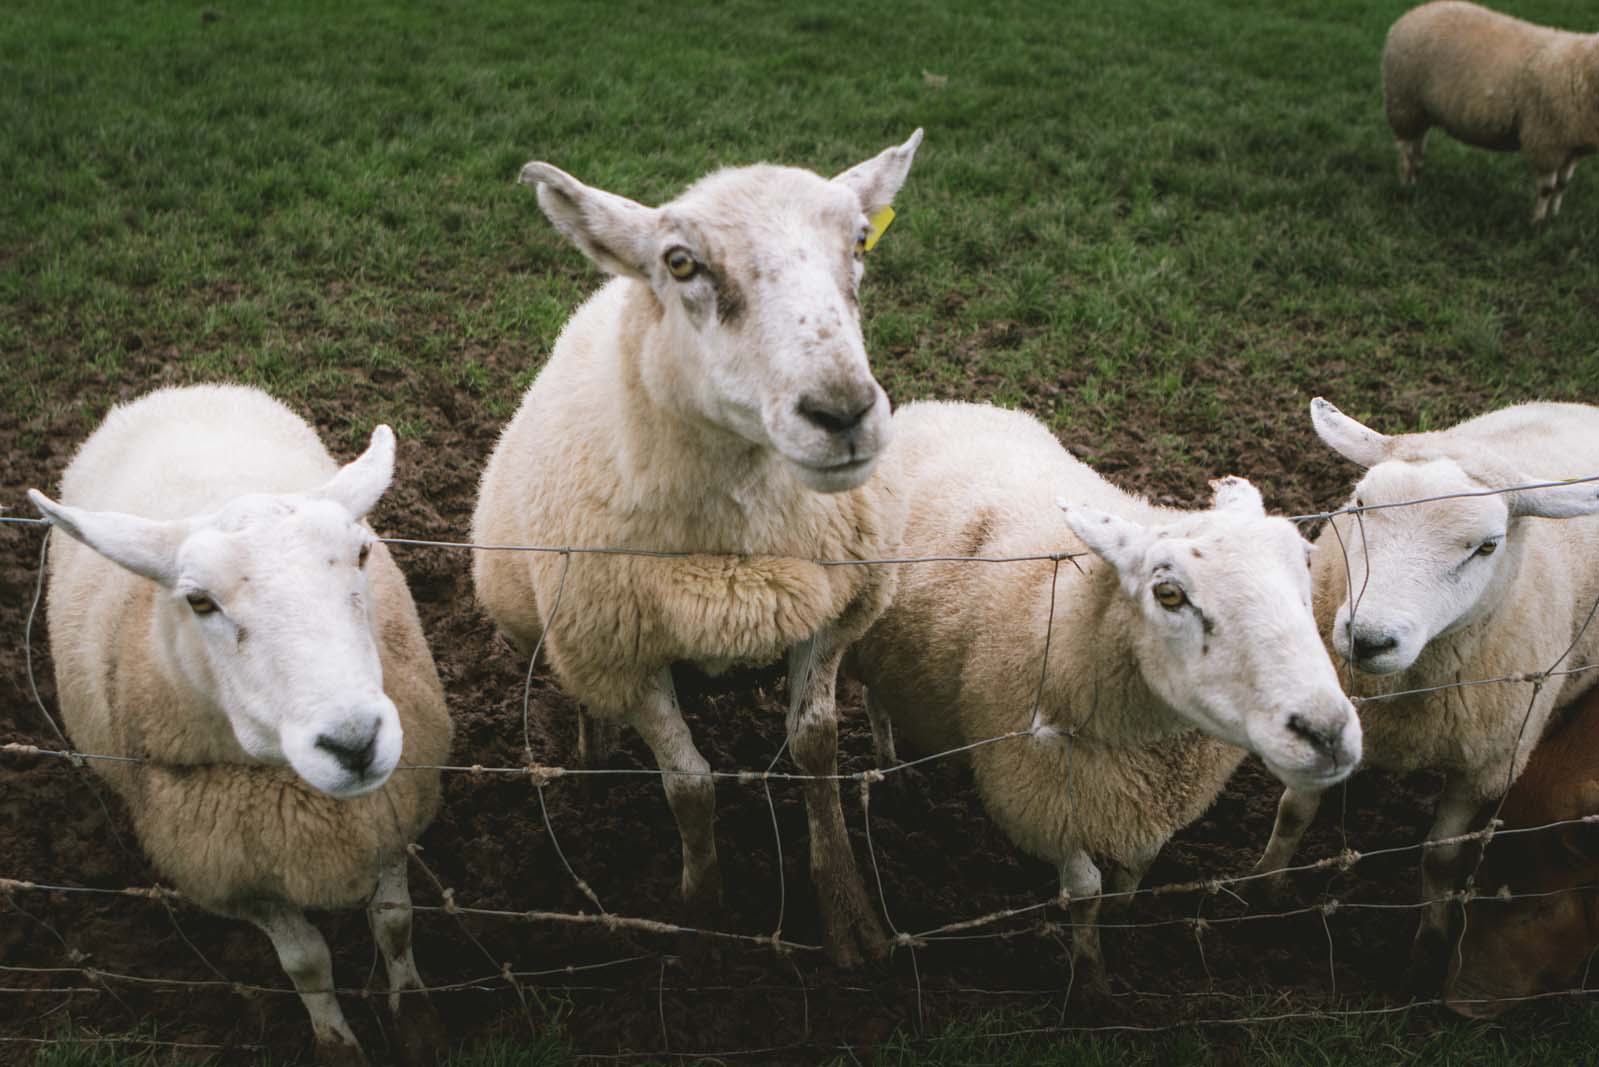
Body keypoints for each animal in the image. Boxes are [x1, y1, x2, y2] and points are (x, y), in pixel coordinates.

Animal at [28, 385, 454, 1067]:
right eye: (198, 601)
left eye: (361, 553)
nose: (355, 743)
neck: (305, 802)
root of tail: (174, 389)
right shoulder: (233, 873)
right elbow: (306, 963)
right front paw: (336, 1042)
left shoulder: (391, 813)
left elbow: (393, 919)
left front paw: (416, 1019)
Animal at [470, 131, 927, 966]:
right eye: (680, 262)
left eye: (857, 241)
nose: (842, 412)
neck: (736, 552)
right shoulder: (624, 649)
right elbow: (689, 782)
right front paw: (705, 912)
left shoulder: (829, 613)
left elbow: (815, 748)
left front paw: (847, 911)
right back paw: (592, 751)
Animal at [850, 399, 1362, 985]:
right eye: (1168, 593)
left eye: (1306, 561)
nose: (1327, 733)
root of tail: (938, 406)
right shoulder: (1044, 798)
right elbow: (1083, 890)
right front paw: (1090, 975)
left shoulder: (1150, 800)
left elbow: (1137, 866)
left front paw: (1121, 921)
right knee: (873, 701)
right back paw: (891, 770)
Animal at [1253, 398, 1599, 991]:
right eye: (1360, 506)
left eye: (1487, 547)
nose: (1368, 639)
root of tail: (1581, 407)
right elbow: (1295, 811)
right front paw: (1266, 889)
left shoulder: (1486, 762)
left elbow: (1441, 858)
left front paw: (1428, 947)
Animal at [1381, 0, 1599, 223]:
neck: (1584, 69)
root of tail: (1412, 14)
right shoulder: (1547, 143)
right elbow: (1547, 189)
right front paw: (1536, 222)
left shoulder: (1572, 147)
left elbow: (1562, 185)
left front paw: (1554, 216)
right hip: (1404, 102)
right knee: (1406, 151)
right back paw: (1406, 187)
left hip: (1421, 110)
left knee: (1418, 148)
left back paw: (1415, 181)